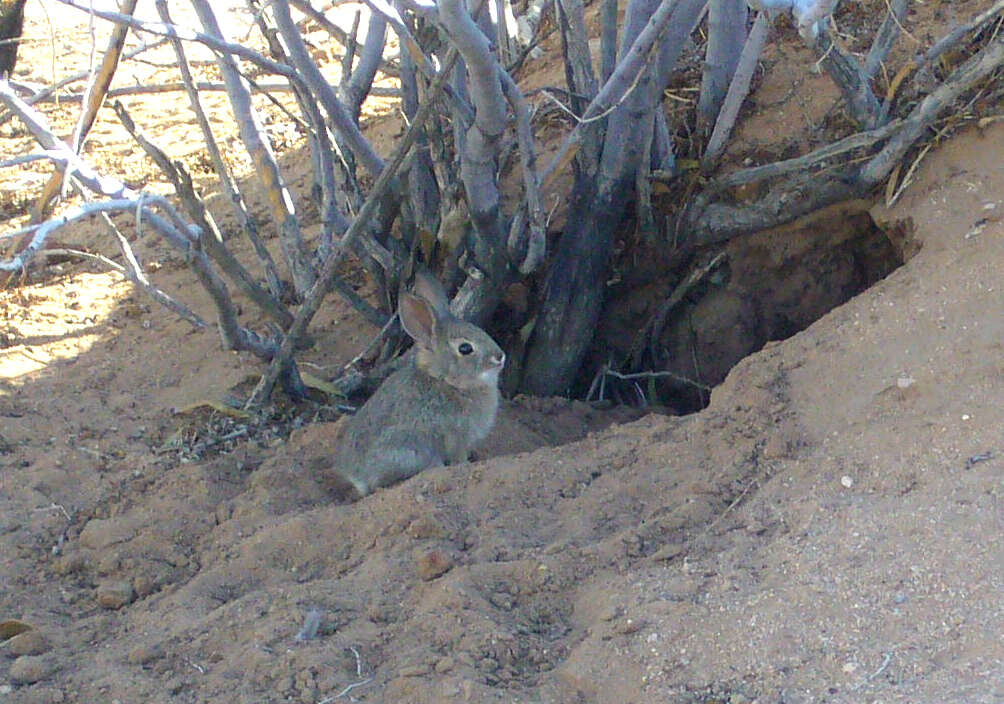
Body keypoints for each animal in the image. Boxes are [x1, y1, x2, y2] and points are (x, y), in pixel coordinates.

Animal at [331, 271, 506, 496]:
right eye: (465, 348)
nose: (500, 356)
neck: (448, 381)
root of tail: (357, 477)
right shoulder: (457, 436)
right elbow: (459, 458)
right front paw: (466, 465)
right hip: (410, 452)